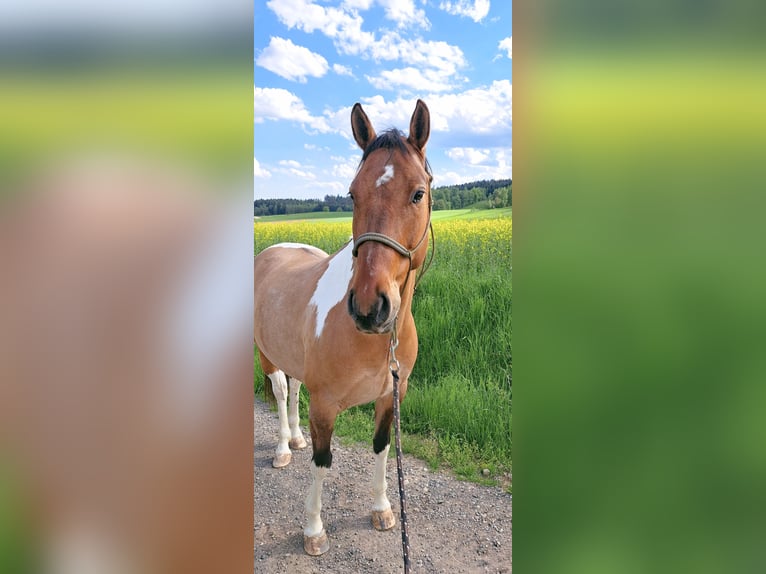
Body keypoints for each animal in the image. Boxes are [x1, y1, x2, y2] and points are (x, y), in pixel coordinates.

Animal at [254, 99, 432, 556]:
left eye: (418, 193)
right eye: (352, 193)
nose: (369, 307)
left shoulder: (391, 396)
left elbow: (381, 449)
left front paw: (382, 509)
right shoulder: (325, 405)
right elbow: (322, 462)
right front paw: (313, 530)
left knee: (294, 387)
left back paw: (296, 439)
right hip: (265, 354)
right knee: (281, 391)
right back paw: (284, 446)